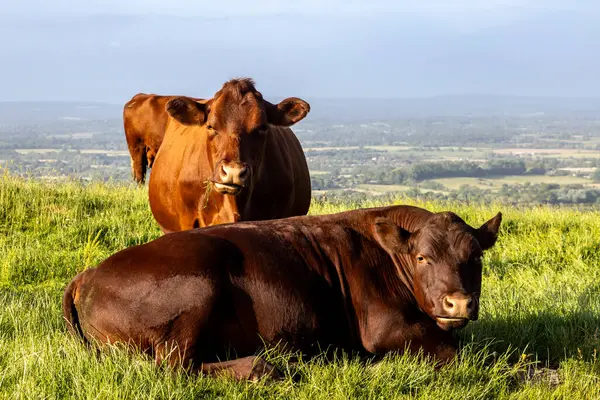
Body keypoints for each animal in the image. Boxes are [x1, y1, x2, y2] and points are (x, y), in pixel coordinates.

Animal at [62, 206, 502, 382]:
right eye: (424, 257)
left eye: (476, 256)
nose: (458, 302)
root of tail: (87, 274)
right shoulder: (384, 327)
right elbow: (457, 351)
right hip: (195, 289)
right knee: (175, 367)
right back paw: (264, 368)